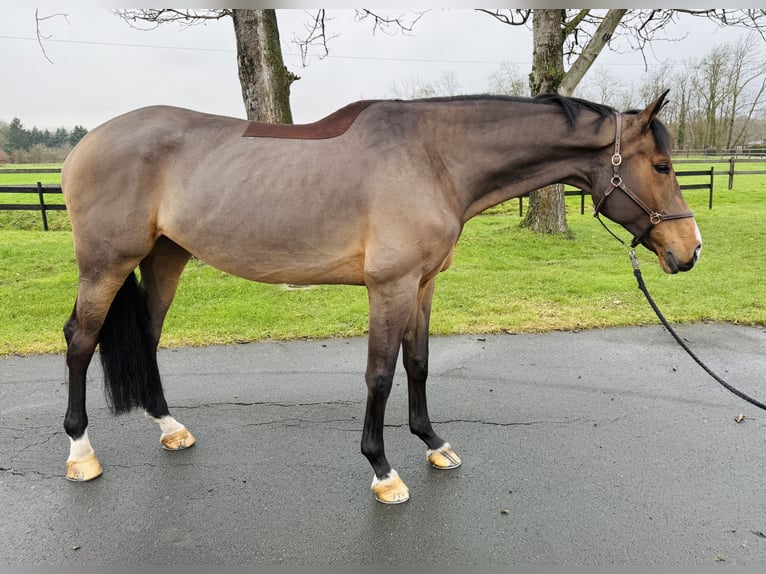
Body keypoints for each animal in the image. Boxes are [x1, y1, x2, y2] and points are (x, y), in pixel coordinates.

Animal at [60, 91, 701, 504]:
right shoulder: (388, 287)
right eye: (662, 165)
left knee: (147, 336)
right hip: (105, 265)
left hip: (165, 256)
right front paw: (383, 471)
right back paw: (80, 454)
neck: (433, 158)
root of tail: (85, 144)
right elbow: (380, 376)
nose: (689, 250)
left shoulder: (421, 284)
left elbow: (417, 364)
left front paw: (434, 443)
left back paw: (169, 428)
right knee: (80, 341)